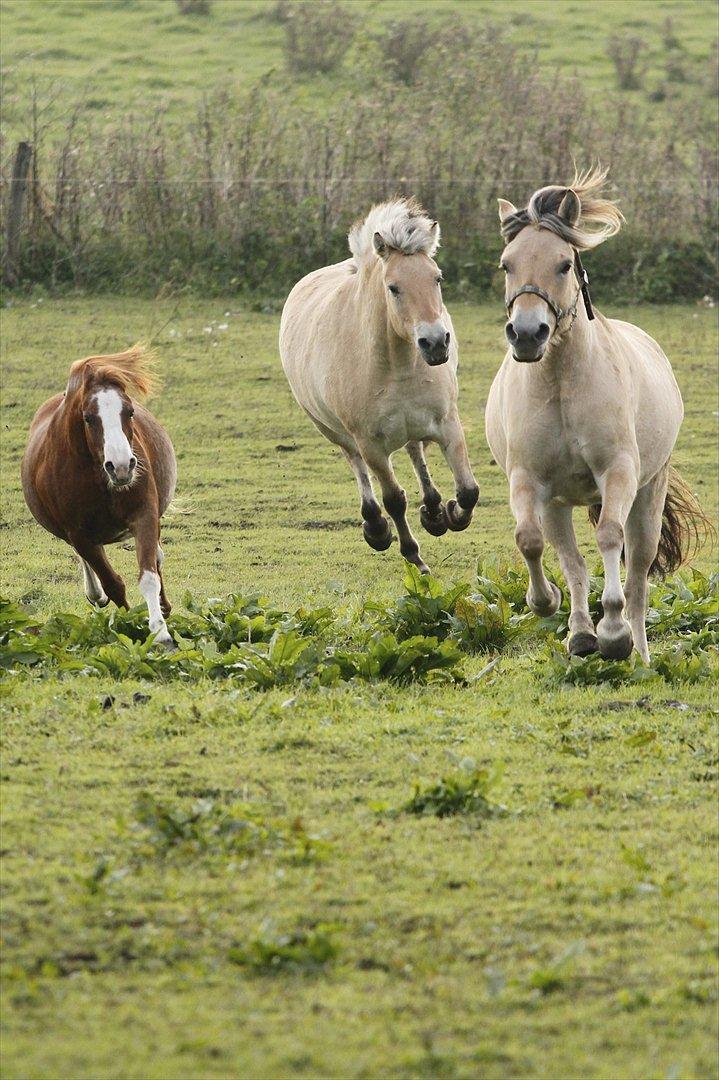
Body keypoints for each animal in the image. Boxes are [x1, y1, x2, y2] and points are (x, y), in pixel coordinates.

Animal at [20, 349, 177, 643]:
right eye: (88, 417)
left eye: (130, 412)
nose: (122, 466)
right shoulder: (80, 535)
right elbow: (113, 584)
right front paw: (132, 622)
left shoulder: (144, 515)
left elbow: (148, 575)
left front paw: (161, 633)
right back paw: (97, 595)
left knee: (157, 558)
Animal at [278, 196, 475, 574]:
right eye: (393, 287)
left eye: (437, 279)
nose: (435, 343)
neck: (398, 366)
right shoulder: (371, 444)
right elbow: (394, 499)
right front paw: (414, 557)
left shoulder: (448, 424)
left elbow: (469, 490)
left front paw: (452, 514)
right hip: (334, 431)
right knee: (356, 463)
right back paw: (376, 526)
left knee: (414, 449)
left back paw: (433, 511)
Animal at [481, 168, 703, 660]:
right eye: (507, 264)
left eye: (564, 264)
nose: (528, 334)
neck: (562, 383)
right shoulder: (529, 480)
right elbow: (530, 540)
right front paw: (547, 603)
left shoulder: (617, 472)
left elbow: (609, 537)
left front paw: (614, 633)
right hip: (558, 504)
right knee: (570, 558)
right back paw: (581, 633)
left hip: (648, 495)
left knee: (637, 575)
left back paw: (637, 653)